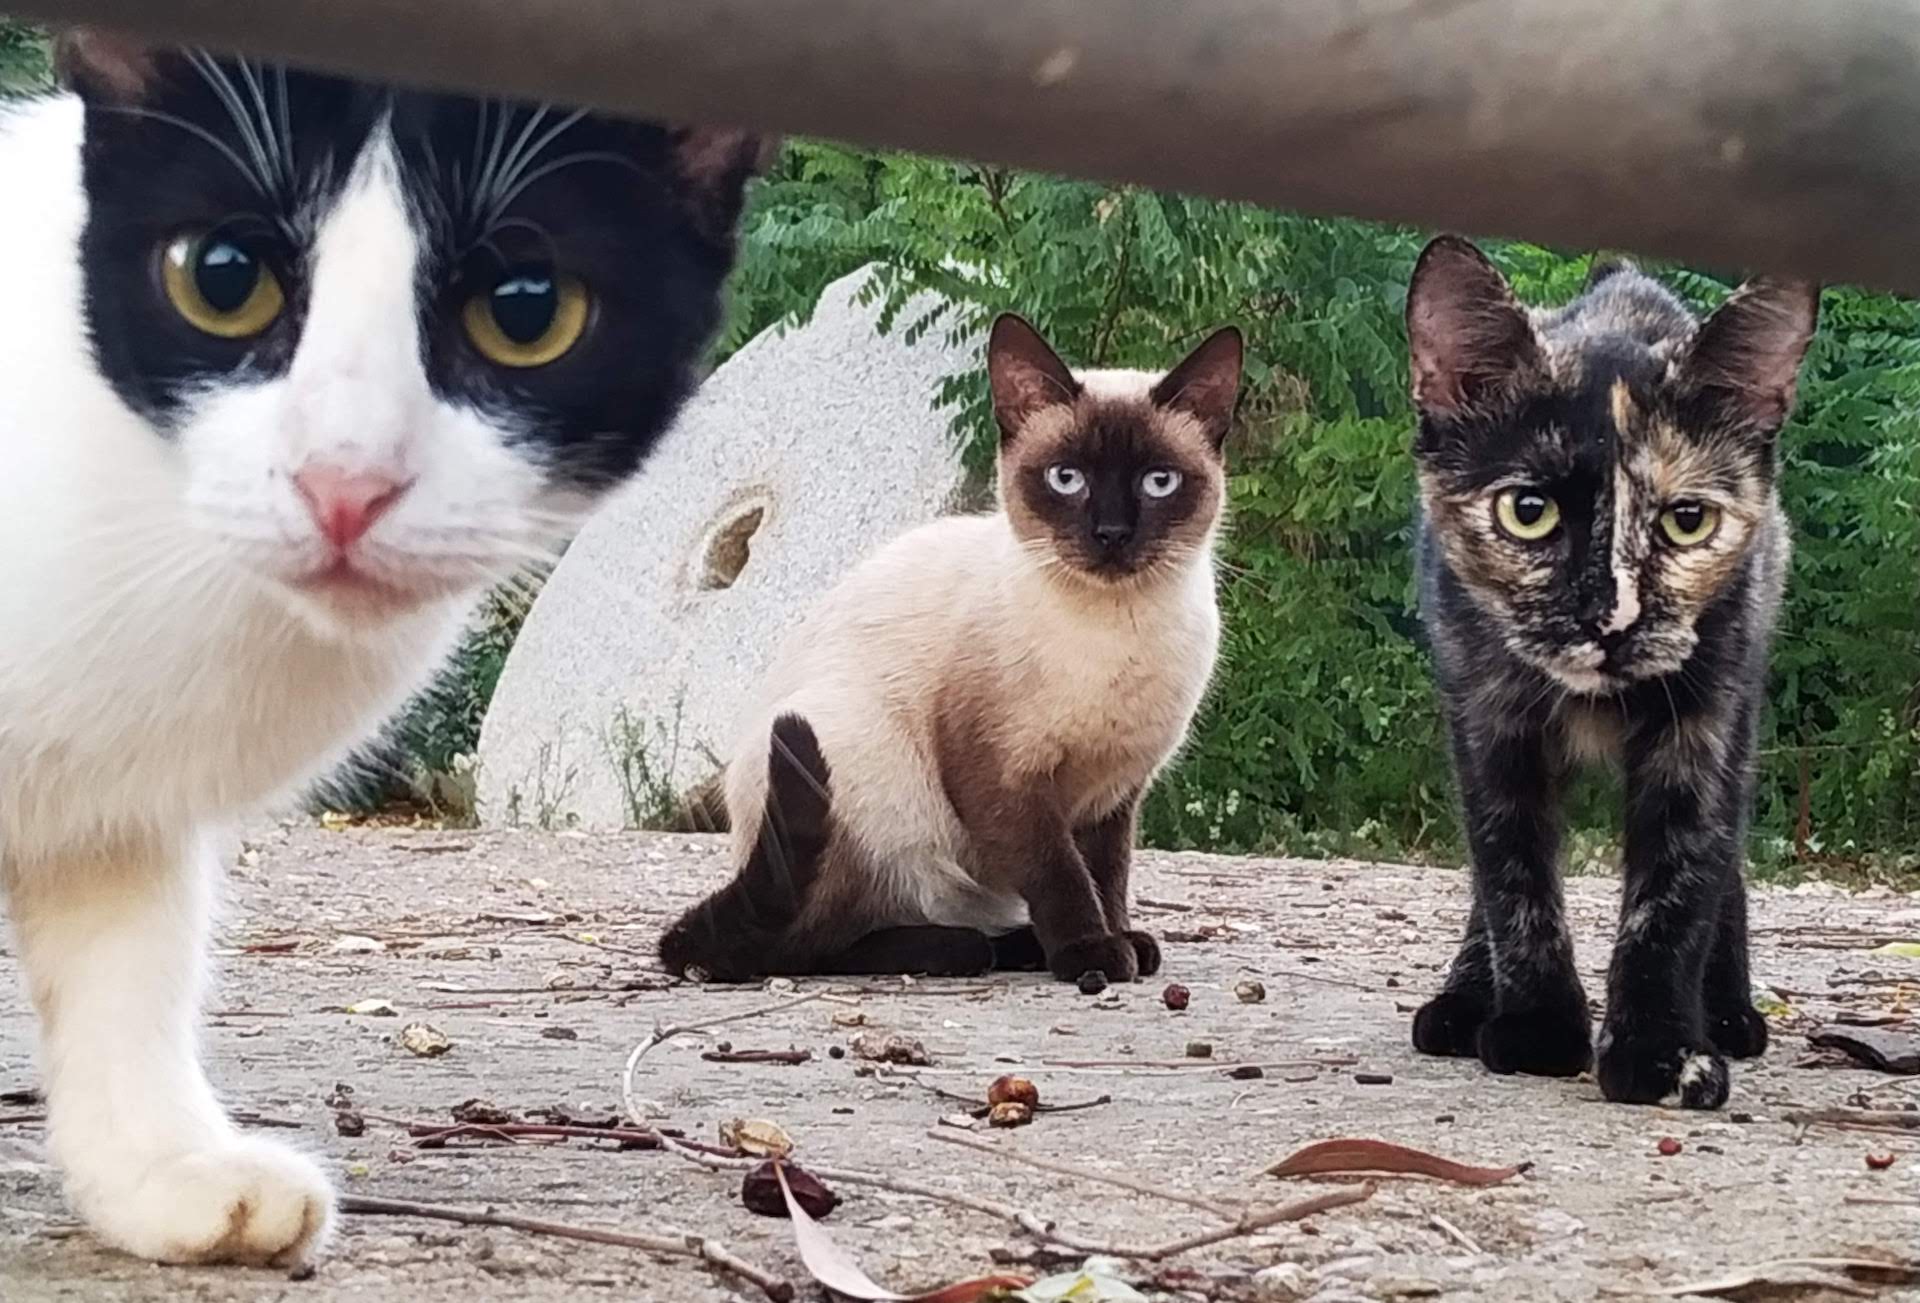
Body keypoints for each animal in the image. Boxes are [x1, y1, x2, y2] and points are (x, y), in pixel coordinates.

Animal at [0, 30, 764, 1266]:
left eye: (526, 309)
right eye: (221, 277)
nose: (343, 482)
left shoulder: (110, 789)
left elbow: (126, 951)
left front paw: (161, 1166)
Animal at [1405, 234, 1820, 1113]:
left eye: (1687, 519)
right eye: (1528, 510)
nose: (1611, 617)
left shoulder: (1706, 723)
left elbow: (1678, 885)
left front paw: (1662, 1049)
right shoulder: (1488, 719)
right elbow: (1511, 873)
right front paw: (1536, 1026)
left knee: (1727, 864)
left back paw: (1728, 1009)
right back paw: (1465, 997)